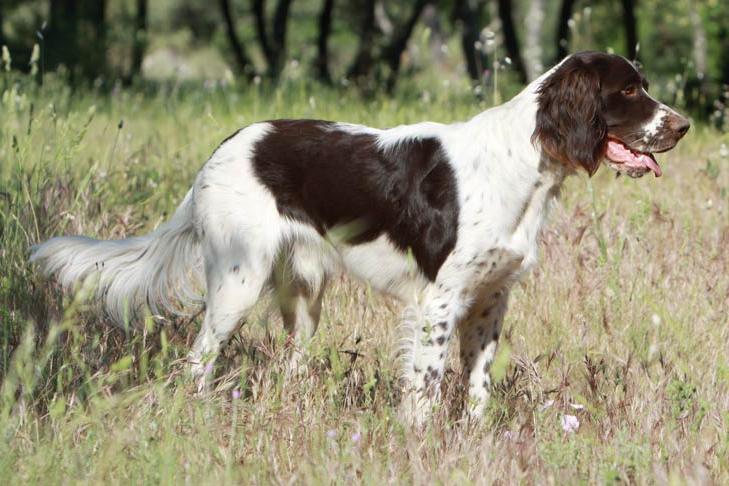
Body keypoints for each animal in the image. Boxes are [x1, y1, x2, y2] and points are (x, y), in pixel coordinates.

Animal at [28, 51, 688, 424]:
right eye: (628, 90)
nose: (681, 126)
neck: (523, 163)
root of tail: (221, 150)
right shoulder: (439, 301)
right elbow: (425, 387)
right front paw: (419, 443)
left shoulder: (490, 301)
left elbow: (476, 387)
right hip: (238, 280)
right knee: (199, 358)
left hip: (303, 294)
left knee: (291, 362)